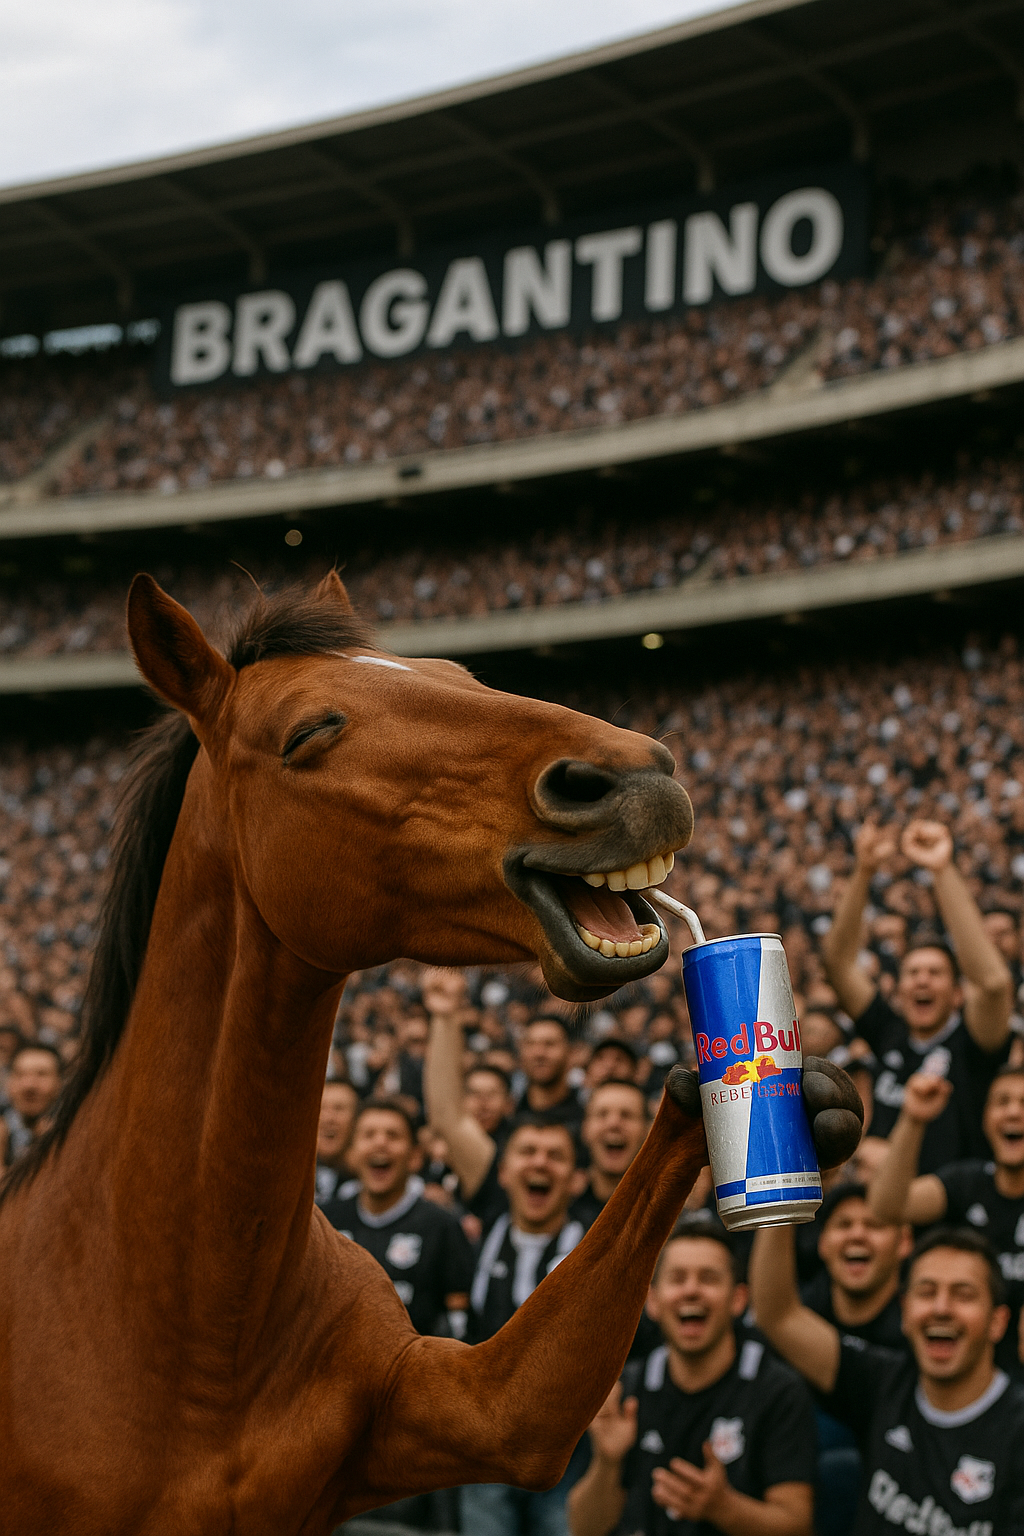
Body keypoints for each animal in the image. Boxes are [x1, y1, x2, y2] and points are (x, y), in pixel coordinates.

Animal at [0, 573, 861, 1534]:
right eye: (307, 733)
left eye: (457, 674)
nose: (636, 777)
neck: (188, 1310)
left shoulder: (458, 1413)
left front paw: (794, 1090)